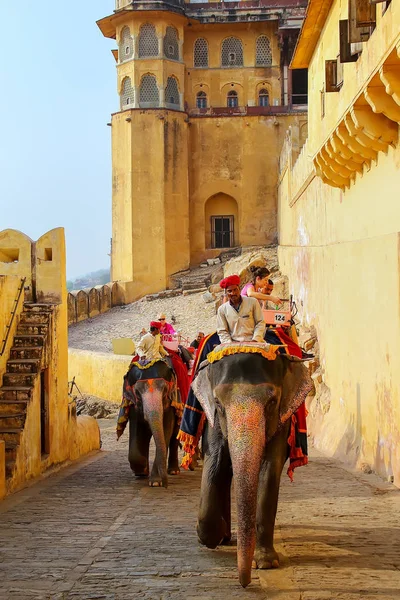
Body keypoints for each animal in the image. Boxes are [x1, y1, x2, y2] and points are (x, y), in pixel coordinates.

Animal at [122, 360, 181, 488]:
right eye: (137, 393)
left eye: (165, 390)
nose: (166, 486)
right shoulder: (134, 406)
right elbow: (136, 431)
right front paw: (142, 471)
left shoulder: (170, 403)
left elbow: (166, 430)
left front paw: (155, 482)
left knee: (174, 436)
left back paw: (174, 471)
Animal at [191, 352, 312, 584]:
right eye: (217, 402)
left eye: (272, 402)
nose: (245, 583)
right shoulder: (212, 418)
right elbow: (215, 461)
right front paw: (211, 536)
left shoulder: (282, 419)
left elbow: (269, 468)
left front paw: (265, 563)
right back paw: (224, 536)